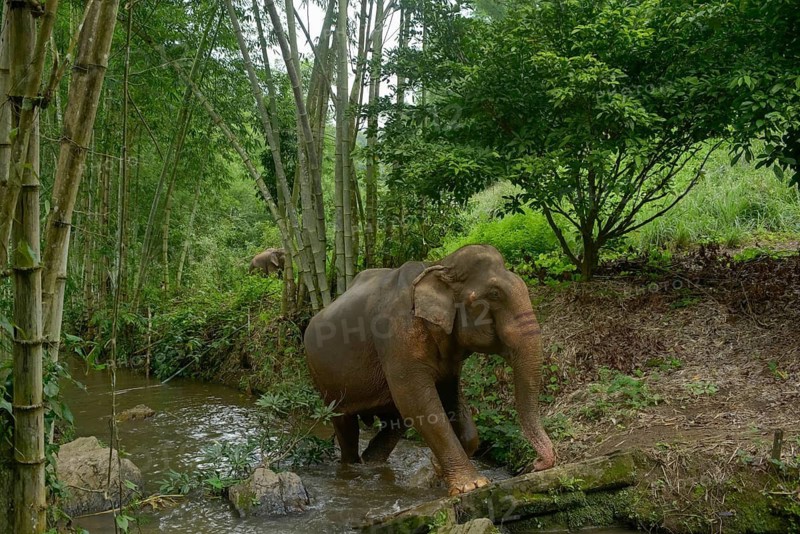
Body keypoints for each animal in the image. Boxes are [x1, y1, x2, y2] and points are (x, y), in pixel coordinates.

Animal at [304, 244, 555, 496]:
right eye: (494, 295)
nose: (536, 464)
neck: (440, 265)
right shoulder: (397, 335)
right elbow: (418, 401)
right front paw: (472, 485)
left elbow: (448, 396)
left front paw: (438, 470)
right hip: (323, 377)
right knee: (346, 424)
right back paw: (352, 468)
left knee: (396, 420)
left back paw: (370, 463)